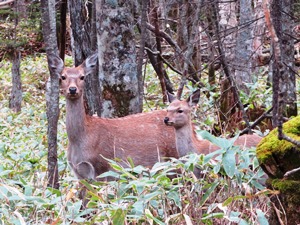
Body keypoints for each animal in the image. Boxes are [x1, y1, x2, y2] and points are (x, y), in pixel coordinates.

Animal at [47, 52, 180, 179]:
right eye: (63, 76)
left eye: (82, 77)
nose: (73, 89)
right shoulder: (79, 174)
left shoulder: (102, 167)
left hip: (175, 156)